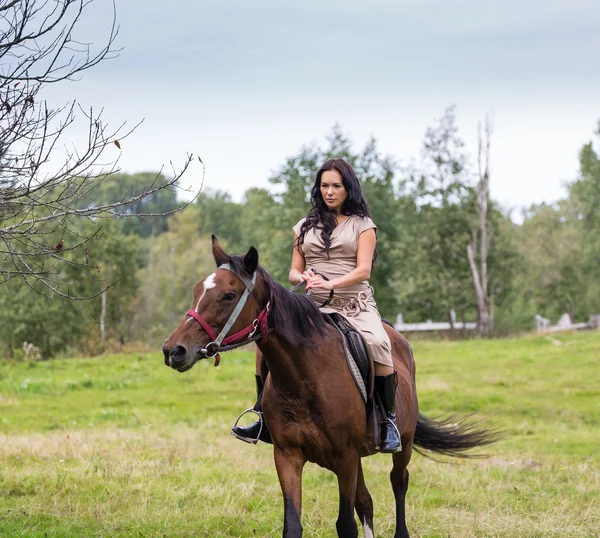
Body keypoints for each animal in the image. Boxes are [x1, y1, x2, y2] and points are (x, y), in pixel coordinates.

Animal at [162, 237, 500, 532]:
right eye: (197, 290)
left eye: (229, 295)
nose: (173, 350)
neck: (304, 378)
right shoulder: (288, 456)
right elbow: (295, 524)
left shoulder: (345, 458)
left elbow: (346, 524)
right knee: (367, 504)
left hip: (400, 445)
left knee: (398, 483)